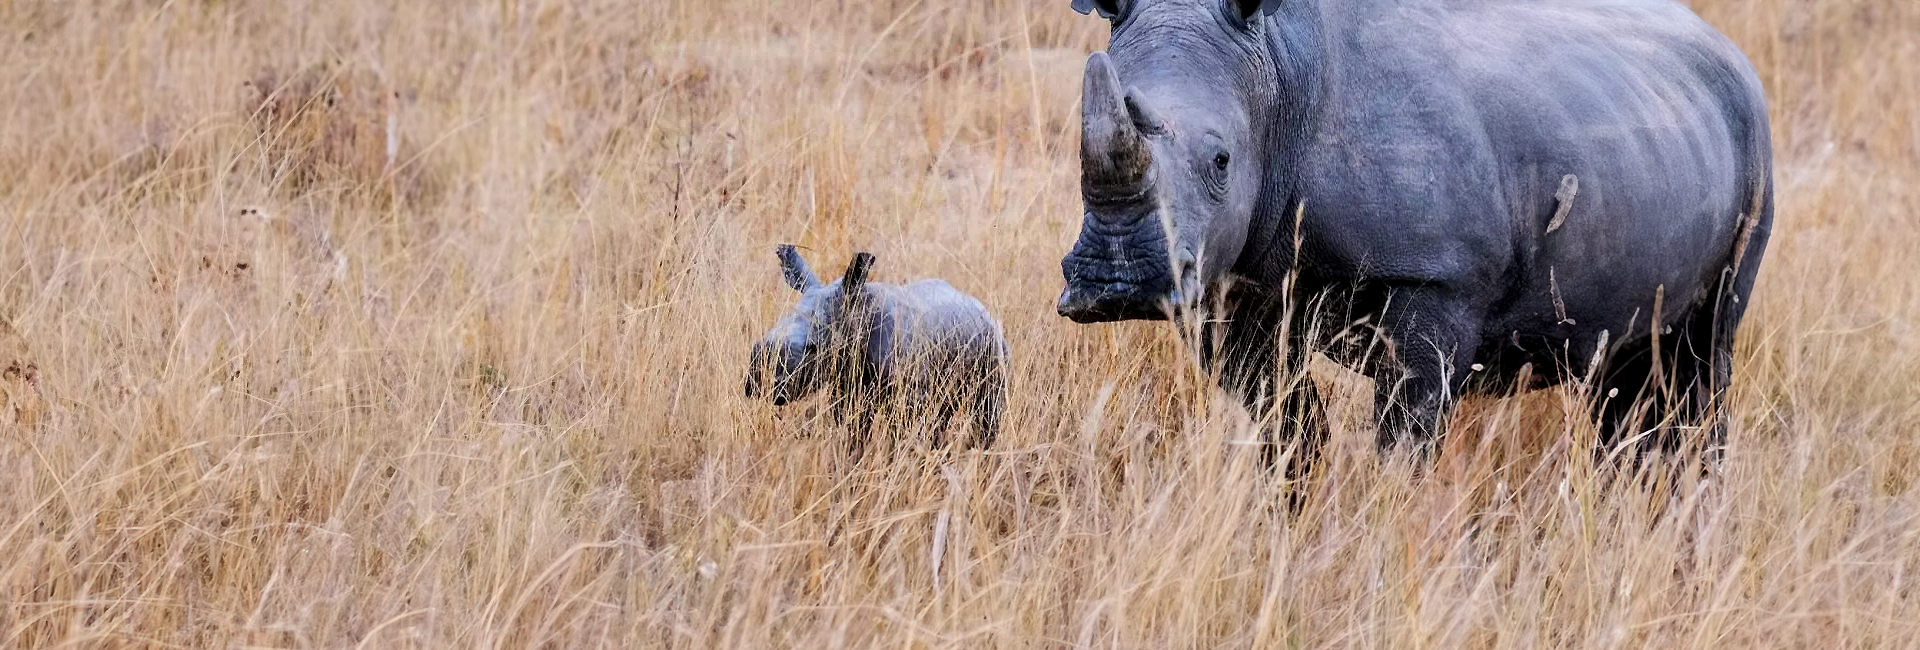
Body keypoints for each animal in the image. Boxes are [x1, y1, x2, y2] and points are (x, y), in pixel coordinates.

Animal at [746, 245, 1008, 456]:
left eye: (814, 349)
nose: (758, 382)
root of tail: (984, 310)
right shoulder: (847, 393)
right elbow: (854, 438)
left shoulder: (909, 398)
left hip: (995, 347)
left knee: (986, 415)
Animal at [1055, 0, 1774, 465]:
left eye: (1222, 160)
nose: (1117, 288)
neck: (1277, 76)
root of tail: (1726, 45)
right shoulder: (1234, 283)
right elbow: (1287, 428)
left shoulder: (1438, 278)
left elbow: (1404, 439)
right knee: (1623, 366)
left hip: (1755, 146)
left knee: (1704, 357)